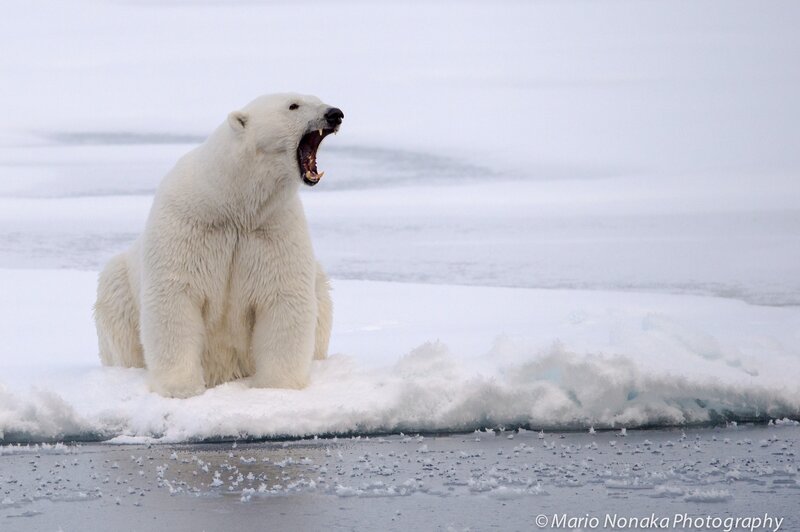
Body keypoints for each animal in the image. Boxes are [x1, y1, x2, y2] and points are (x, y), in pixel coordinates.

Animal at [94, 93, 341, 398]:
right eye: (293, 105)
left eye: (318, 98)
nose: (335, 114)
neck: (232, 203)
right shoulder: (189, 225)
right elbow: (175, 297)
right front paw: (181, 388)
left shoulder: (273, 229)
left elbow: (283, 296)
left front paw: (276, 387)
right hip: (119, 288)